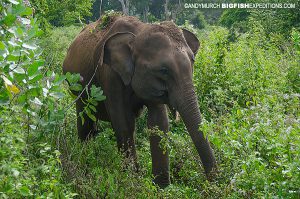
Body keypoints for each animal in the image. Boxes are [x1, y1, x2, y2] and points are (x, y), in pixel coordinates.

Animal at [63, 14, 217, 187]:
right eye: (163, 70)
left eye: (193, 62)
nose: (212, 182)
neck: (139, 30)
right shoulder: (110, 76)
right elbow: (124, 124)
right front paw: (132, 181)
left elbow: (158, 123)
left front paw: (161, 187)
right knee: (84, 119)